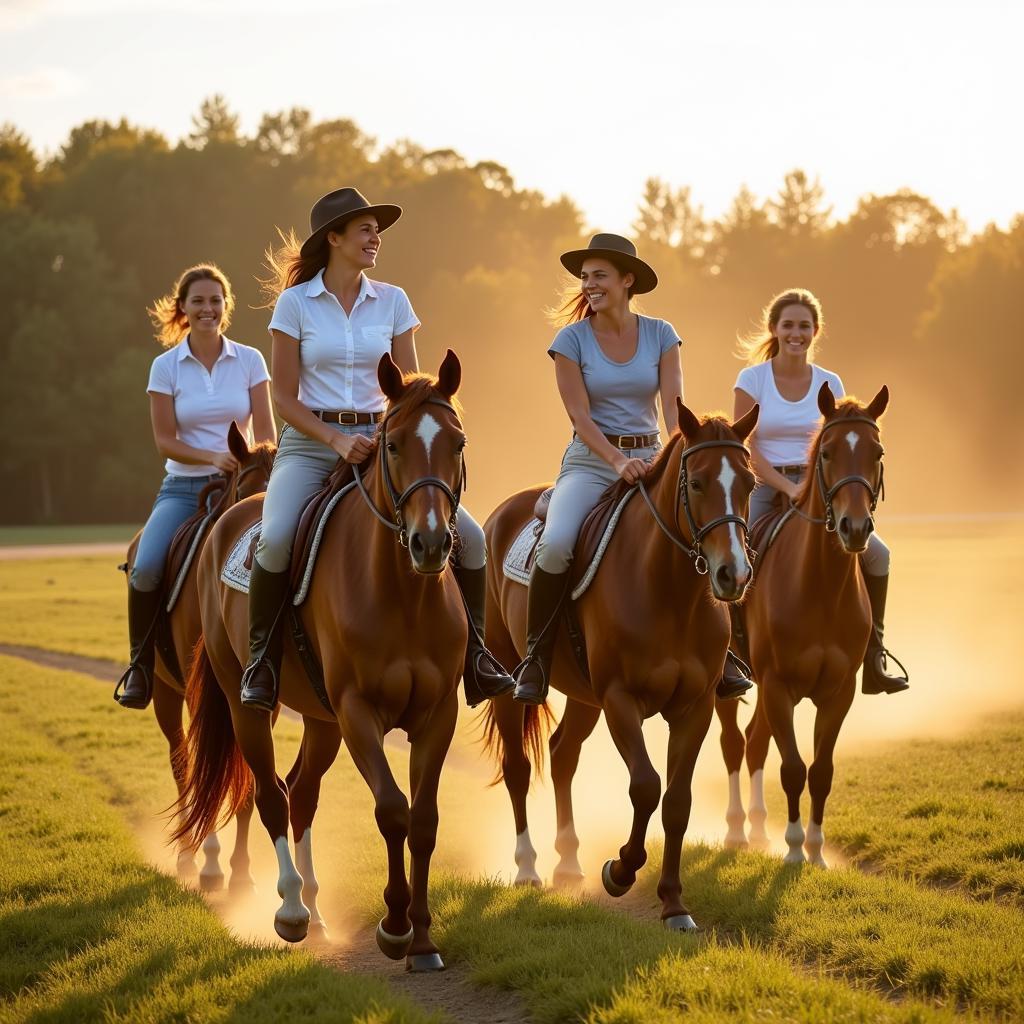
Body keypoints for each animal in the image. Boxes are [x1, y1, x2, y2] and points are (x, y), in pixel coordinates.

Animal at [122, 419, 274, 892]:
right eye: (244, 488)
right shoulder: (199, 692)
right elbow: (208, 767)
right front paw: (211, 863)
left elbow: (248, 776)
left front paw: (241, 870)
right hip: (166, 694)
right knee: (182, 764)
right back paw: (190, 855)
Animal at [173, 352, 468, 966]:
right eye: (393, 444)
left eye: (457, 444)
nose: (430, 543)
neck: (404, 594)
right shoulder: (359, 712)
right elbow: (392, 809)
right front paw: (394, 926)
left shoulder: (437, 715)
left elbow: (424, 820)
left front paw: (424, 940)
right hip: (249, 707)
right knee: (269, 794)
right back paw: (290, 910)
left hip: (320, 719)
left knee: (301, 793)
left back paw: (317, 909)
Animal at [483, 403, 757, 933]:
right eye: (697, 483)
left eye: (750, 483)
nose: (733, 574)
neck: (668, 592)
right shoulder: (620, 701)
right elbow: (646, 787)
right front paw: (620, 870)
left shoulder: (694, 708)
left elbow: (677, 801)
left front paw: (674, 904)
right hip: (511, 680)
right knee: (518, 766)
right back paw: (528, 869)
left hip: (582, 696)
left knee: (563, 754)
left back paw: (569, 864)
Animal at [712, 385, 888, 864]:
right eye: (826, 453)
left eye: (877, 452)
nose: (855, 527)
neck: (820, 587)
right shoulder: (778, 686)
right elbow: (792, 767)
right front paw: (793, 851)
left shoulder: (839, 692)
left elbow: (821, 769)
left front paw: (816, 851)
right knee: (735, 743)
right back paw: (736, 831)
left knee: (755, 741)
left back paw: (757, 831)